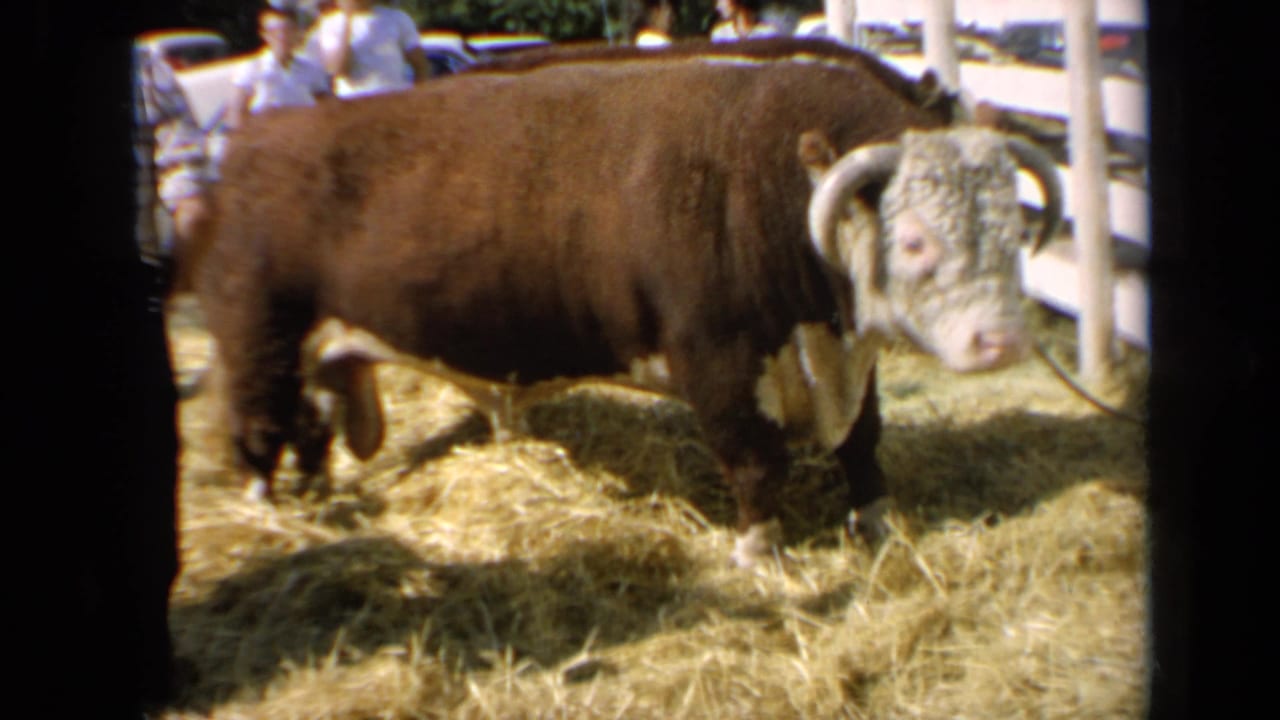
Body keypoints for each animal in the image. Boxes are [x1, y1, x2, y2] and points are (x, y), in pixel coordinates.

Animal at [196, 40, 1061, 567]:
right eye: (912, 241)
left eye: (1013, 226)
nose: (1004, 340)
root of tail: (259, 136)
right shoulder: (716, 357)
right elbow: (755, 461)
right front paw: (757, 553)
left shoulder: (841, 353)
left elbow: (863, 442)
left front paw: (877, 522)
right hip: (258, 339)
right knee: (260, 431)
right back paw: (271, 519)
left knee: (307, 427)